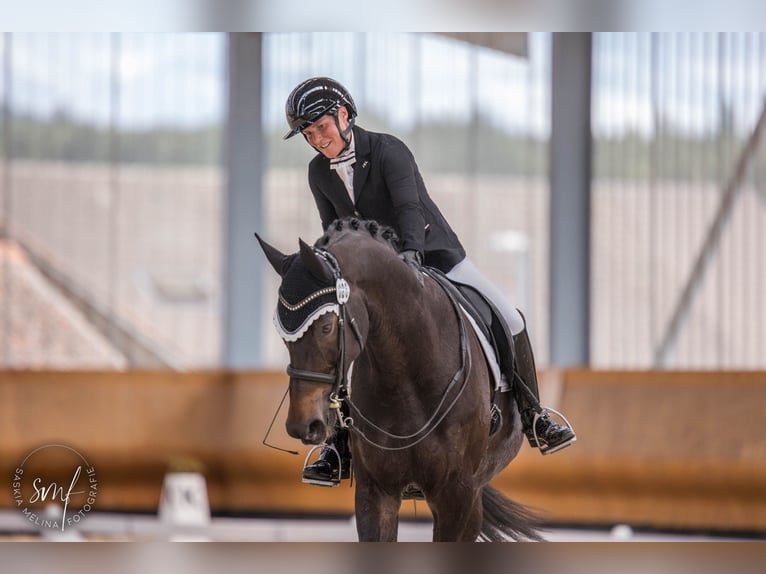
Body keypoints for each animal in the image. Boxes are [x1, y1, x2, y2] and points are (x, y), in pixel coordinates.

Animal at [256, 218, 540, 544]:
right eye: (281, 331)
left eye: (326, 326)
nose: (302, 425)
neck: (405, 378)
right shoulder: (376, 492)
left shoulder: (456, 494)